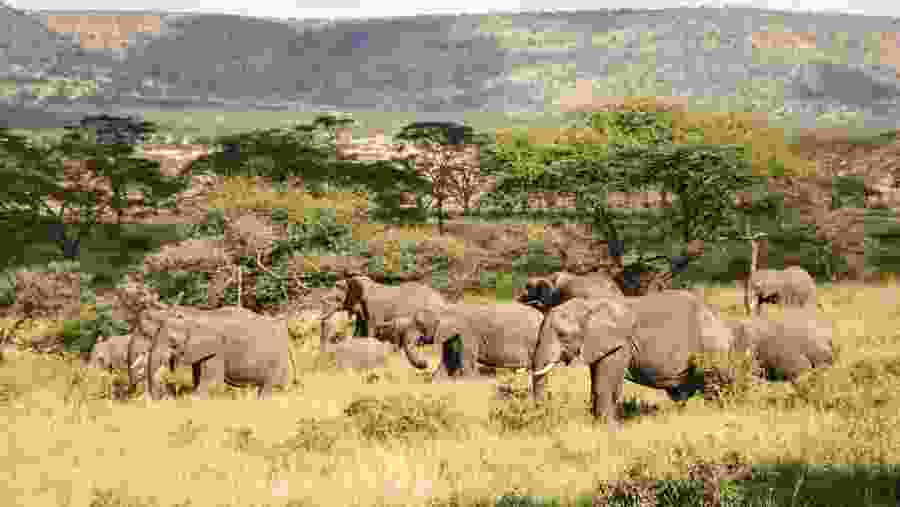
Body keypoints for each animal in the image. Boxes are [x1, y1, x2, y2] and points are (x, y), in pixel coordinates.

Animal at [139, 306, 296, 400]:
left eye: (172, 341)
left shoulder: (217, 349)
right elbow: (199, 378)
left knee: (271, 386)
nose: (162, 396)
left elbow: (212, 382)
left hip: (278, 358)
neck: (196, 315)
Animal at [393, 302, 545, 381]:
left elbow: (466, 358)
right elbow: (448, 358)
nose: (425, 363)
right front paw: (437, 380)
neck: (447, 308)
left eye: (420, 324)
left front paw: (470, 380)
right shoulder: (450, 335)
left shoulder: (467, 333)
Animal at [531, 291, 735, 429]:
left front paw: (608, 427)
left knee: (710, 382)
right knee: (682, 392)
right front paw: (598, 424)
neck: (590, 305)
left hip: (711, 346)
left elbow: (605, 383)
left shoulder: (620, 344)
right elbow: (597, 378)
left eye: (562, 335)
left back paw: (714, 413)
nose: (545, 417)